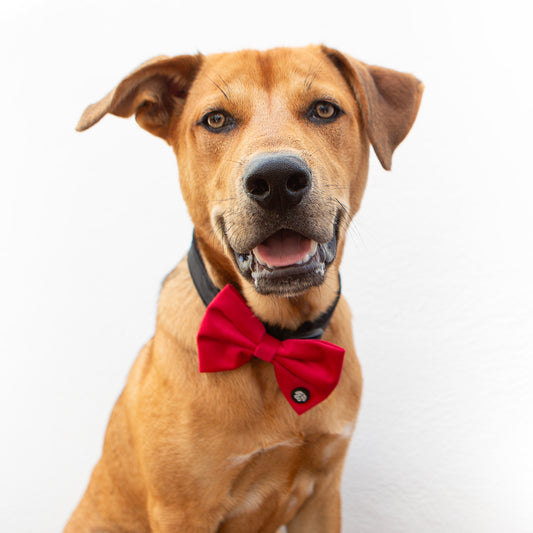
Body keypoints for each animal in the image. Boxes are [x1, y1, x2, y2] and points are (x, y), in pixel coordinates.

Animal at [66, 46, 422, 532]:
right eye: (216, 120)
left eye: (324, 110)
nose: (276, 181)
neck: (277, 338)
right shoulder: (183, 512)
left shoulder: (323, 494)